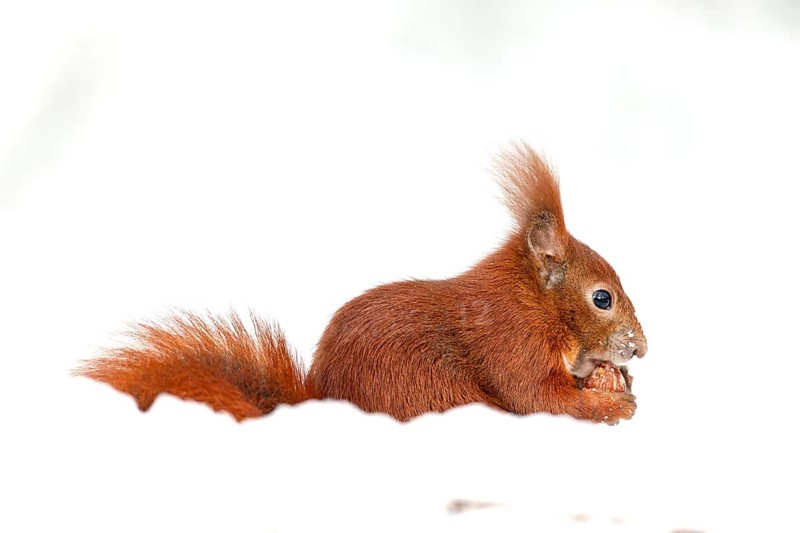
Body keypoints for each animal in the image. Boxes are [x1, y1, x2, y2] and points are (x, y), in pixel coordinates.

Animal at [76, 144, 647, 424]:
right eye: (602, 298)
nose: (640, 349)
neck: (531, 302)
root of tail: (323, 402)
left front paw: (619, 382)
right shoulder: (511, 342)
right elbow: (538, 398)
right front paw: (611, 404)